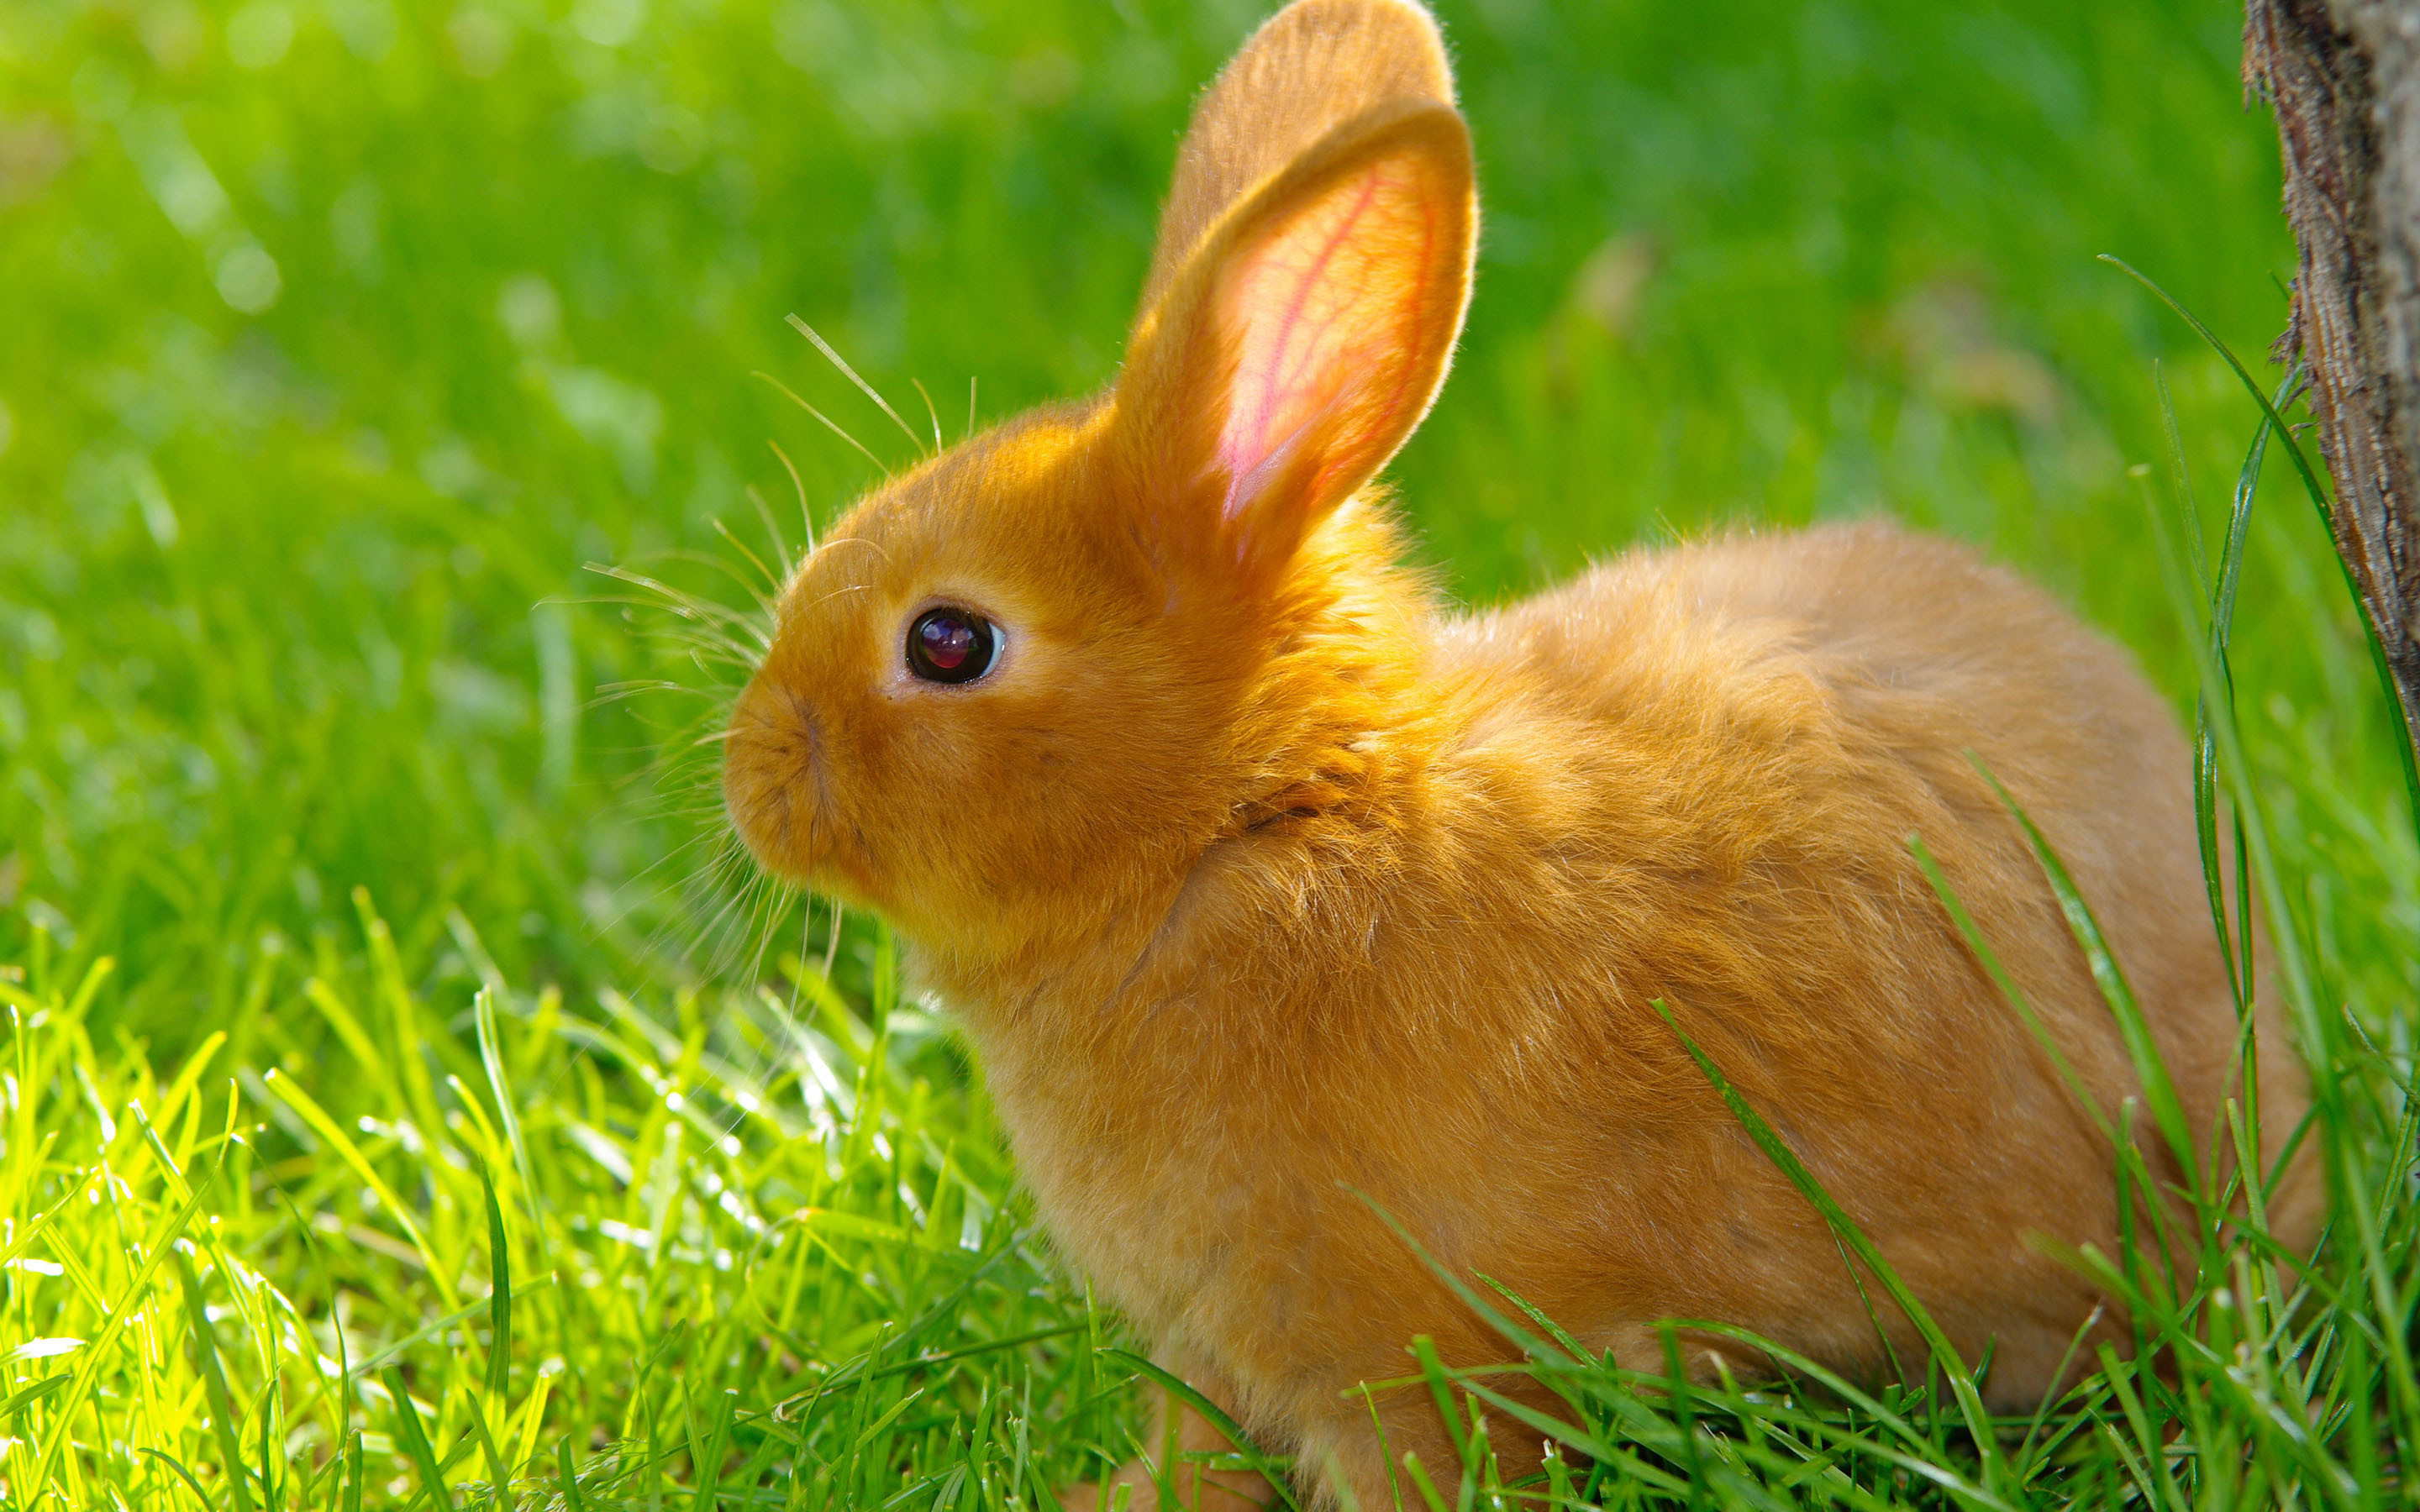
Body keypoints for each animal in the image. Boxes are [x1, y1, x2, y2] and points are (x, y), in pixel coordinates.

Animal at [721, 0, 2323, 1499]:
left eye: (948, 643)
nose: (750, 776)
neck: (1250, 823)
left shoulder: (1419, 1369)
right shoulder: (1225, 1352)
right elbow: (1198, 1449)